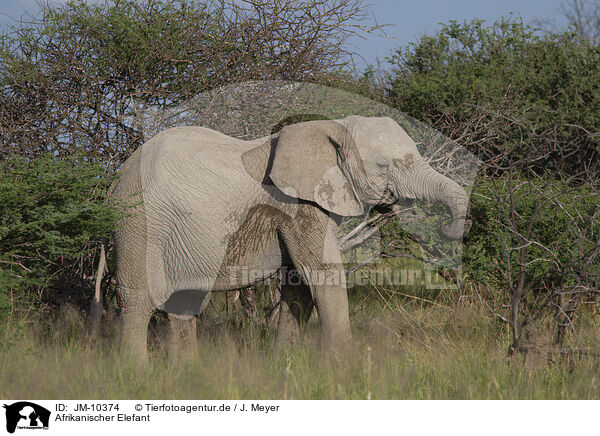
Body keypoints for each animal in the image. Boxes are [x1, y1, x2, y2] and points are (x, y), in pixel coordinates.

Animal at [92, 115, 468, 362]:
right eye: (382, 164)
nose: (447, 229)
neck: (330, 127)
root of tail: (116, 178)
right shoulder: (296, 203)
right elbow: (320, 272)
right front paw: (346, 367)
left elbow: (299, 282)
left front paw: (282, 366)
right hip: (139, 221)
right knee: (139, 299)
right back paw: (137, 373)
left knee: (184, 301)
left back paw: (187, 373)